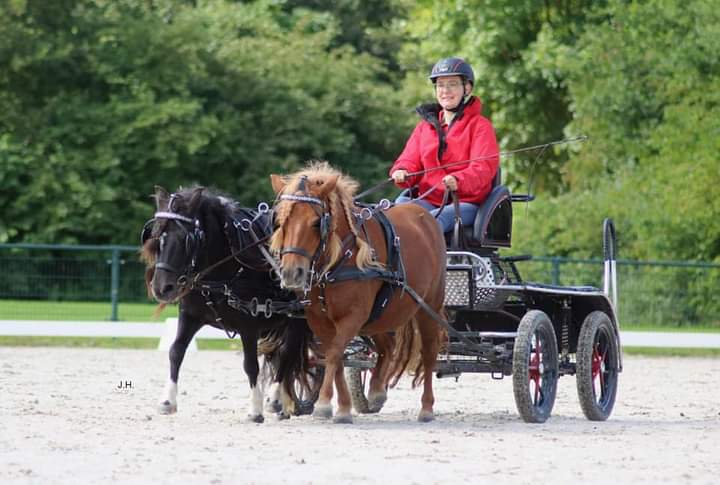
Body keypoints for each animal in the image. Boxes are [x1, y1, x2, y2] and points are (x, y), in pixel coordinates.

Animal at [141, 185, 316, 420]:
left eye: (187, 239)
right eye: (156, 236)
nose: (161, 288)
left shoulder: (249, 326)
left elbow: (250, 365)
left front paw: (254, 411)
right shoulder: (190, 315)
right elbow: (175, 351)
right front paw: (167, 401)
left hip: (299, 319)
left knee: (288, 354)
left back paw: (275, 399)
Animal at [272, 161, 448, 422]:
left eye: (315, 223)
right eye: (281, 222)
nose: (292, 273)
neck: (338, 261)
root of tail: (427, 217)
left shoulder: (353, 317)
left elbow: (335, 354)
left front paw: (325, 404)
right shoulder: (320, 321)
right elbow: (335, 357)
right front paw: (344, 406)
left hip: (428, 308)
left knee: (428, 353)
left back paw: (426, 407)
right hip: (381, 314)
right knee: (387, 347)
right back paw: (376, 391)